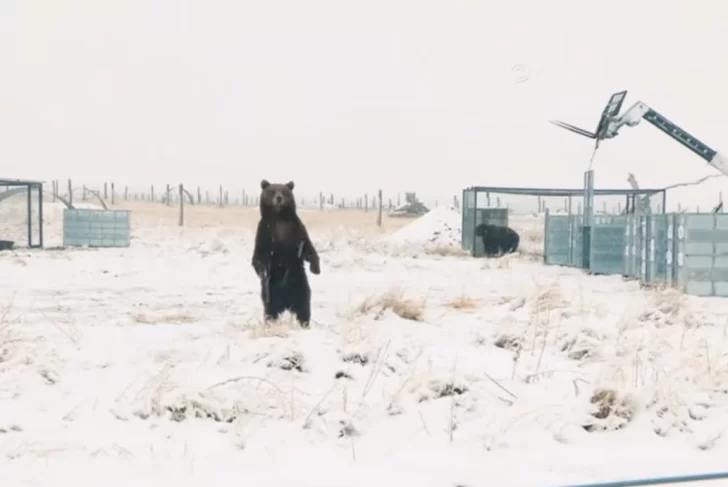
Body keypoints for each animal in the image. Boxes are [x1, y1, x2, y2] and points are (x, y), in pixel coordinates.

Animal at [251, 179, 320, 328]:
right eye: (272, 191)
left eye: (284, 191)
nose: (279, 198)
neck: (279, 217)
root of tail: (286, 304)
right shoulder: (265, 232)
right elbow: (259, 256)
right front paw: (263, 272)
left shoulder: (296, 229)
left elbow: (308, 247)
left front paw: (316, 268)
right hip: (272, 295)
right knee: (270, 310)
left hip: (300, 286)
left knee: (304, 308)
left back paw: (304, 324)